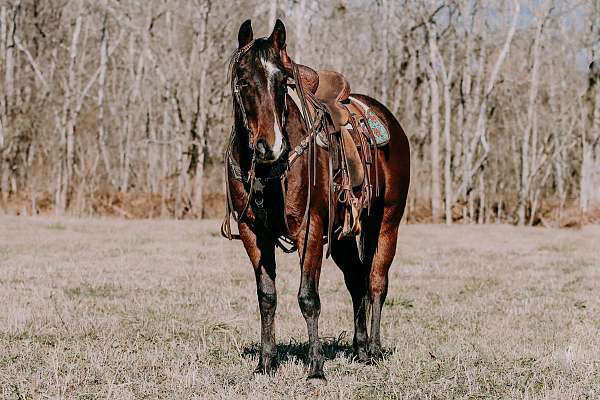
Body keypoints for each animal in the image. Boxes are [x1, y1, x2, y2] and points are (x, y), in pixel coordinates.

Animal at [223, 18, 410, 382]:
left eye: (283, 82)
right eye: (243, 79)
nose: (271, 145)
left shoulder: (308, 230)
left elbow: (308, 298)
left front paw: (316, 369)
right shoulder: (253, 233)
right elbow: (267, 297)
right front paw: (265, 363)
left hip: (387, 224)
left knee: (376, 282)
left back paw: (374, 349)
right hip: (342, 238)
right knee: (357, 281)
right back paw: (359, 348)